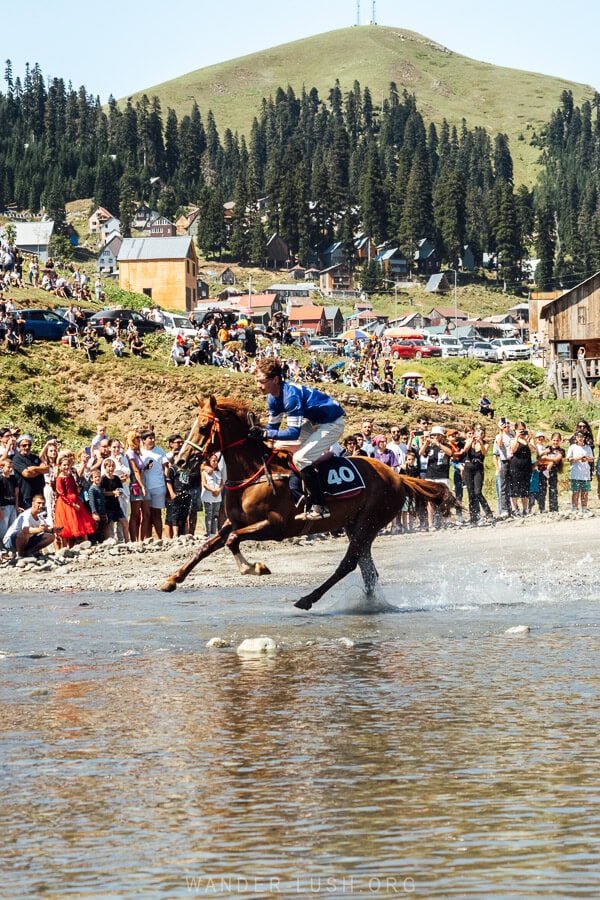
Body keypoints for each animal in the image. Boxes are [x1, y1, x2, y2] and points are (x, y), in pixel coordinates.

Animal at [162, 396, 458, 612]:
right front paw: (172, 579)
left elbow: (233, 541)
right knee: (367, 569)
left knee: (349, 563)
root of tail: (396, 476)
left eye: (203, 427)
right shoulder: (234, 521)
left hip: (369, 522)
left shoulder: (275, 526)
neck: (252, 472)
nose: (181, 460)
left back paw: (308, 599)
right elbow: (207, 545)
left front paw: (256, 568)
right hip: (356, 524)